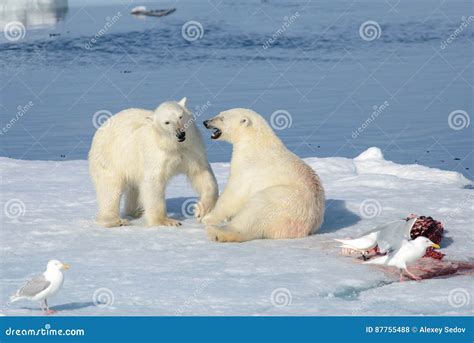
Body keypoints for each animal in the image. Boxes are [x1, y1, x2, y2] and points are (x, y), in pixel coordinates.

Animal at [89, 97, 218, 228]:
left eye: (180, 116)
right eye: (167, 122)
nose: (180, 134)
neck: (172, 145)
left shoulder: (191, 150)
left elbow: (201, 174)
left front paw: (201, 211)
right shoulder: (156, 154)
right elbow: (153, 183)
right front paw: (166, 221)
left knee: (134, 188)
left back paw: (137, 211)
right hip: (111, 158)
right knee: (110, 188)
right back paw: (115, 220)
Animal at [202, 109, 324, 243]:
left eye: (222, 118)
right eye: (219, 113)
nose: (205, 122)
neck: (255, 142)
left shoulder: (248, 168)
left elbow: (234, 194)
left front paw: (208, 217)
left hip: (280, 199)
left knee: (253, 212)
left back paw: (217, 232)